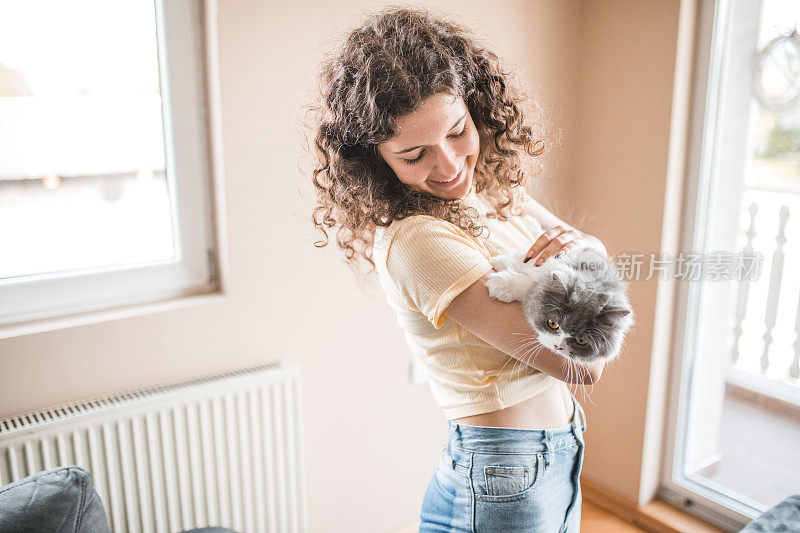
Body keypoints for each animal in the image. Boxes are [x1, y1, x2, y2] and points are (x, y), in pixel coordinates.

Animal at [484, 214, 636, 364]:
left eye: (581, 341)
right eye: (553, 324)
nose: (557, 347)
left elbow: (527, 283)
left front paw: (500, 281)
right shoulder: (545, 260)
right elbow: (526, 264)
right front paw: (501, 265)